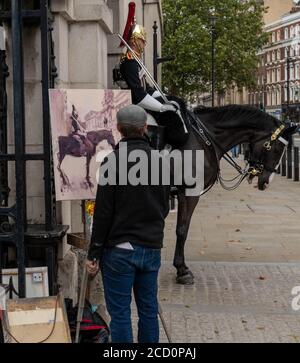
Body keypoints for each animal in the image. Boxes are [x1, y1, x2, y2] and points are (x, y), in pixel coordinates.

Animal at [173, 104, 298, 286]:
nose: (266, 182)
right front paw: (182, 270)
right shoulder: (189, 192)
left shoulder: (183, 193)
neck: (202, 138)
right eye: (277, 149)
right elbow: (183, 229)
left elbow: (180, 228)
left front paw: (180, 267)